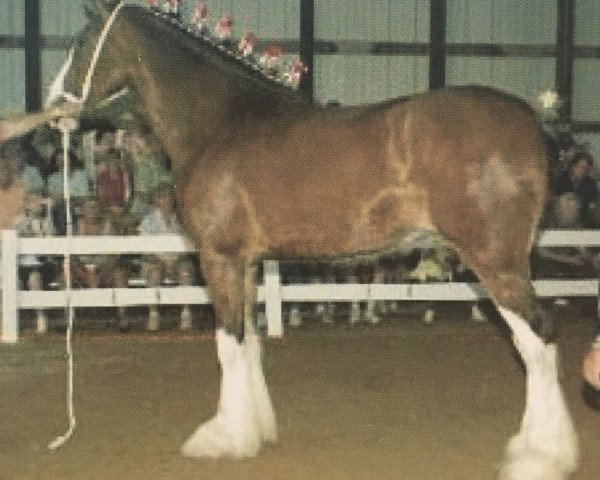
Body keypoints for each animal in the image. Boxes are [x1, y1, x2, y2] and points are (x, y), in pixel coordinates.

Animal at [1, 1, 580, 478]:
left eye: (81, 42)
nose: (50, 111)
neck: (222, 123)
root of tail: (535, 121)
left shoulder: (219, 258)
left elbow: (228, 344)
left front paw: (222, 438)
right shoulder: (249, 262)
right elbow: (251, 342)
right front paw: (255, 430)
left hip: (495, 262)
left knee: (538, 339)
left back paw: (539, 456)